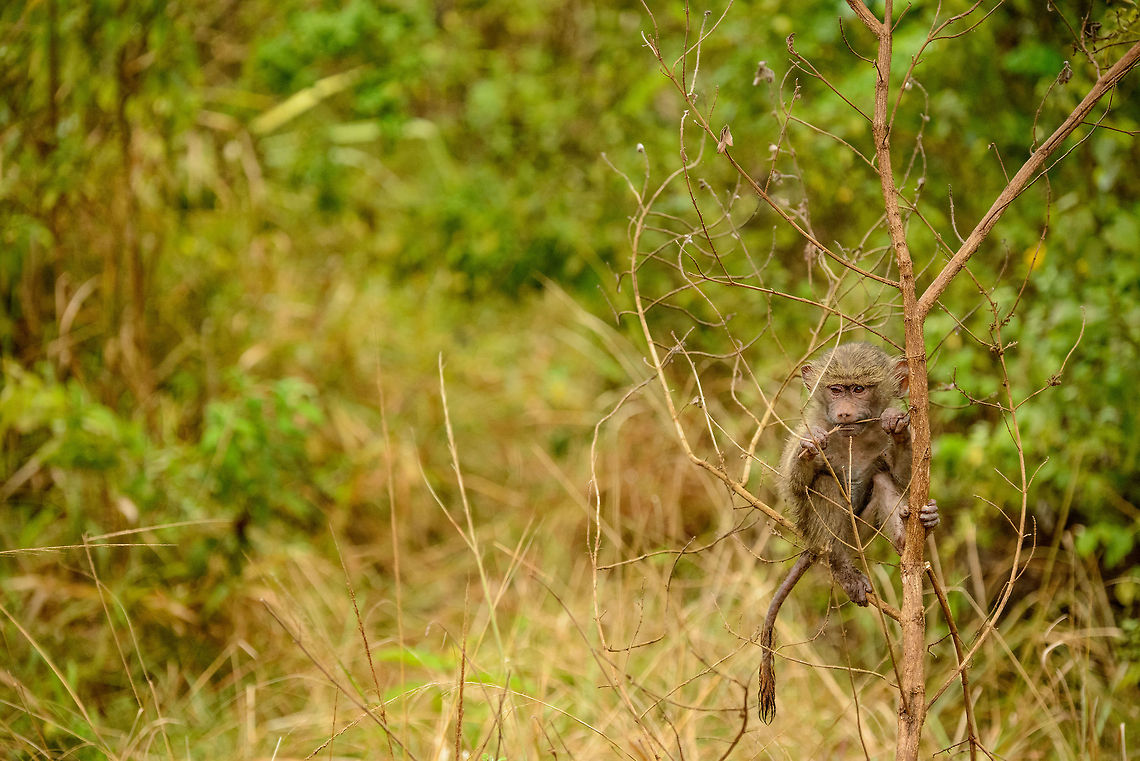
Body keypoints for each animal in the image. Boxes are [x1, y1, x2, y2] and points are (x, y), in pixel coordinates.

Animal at [757, 342, 940, 723]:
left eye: (859, 389)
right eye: (836, 389)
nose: (843, 414)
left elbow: (903, 478)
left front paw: (898, 428)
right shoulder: (809, 426)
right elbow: (793, 485)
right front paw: (810, 450)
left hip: (864, 530)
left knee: (883, 481)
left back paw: (912, 535)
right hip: (821, 531)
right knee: (825, 488)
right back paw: (843, 569)